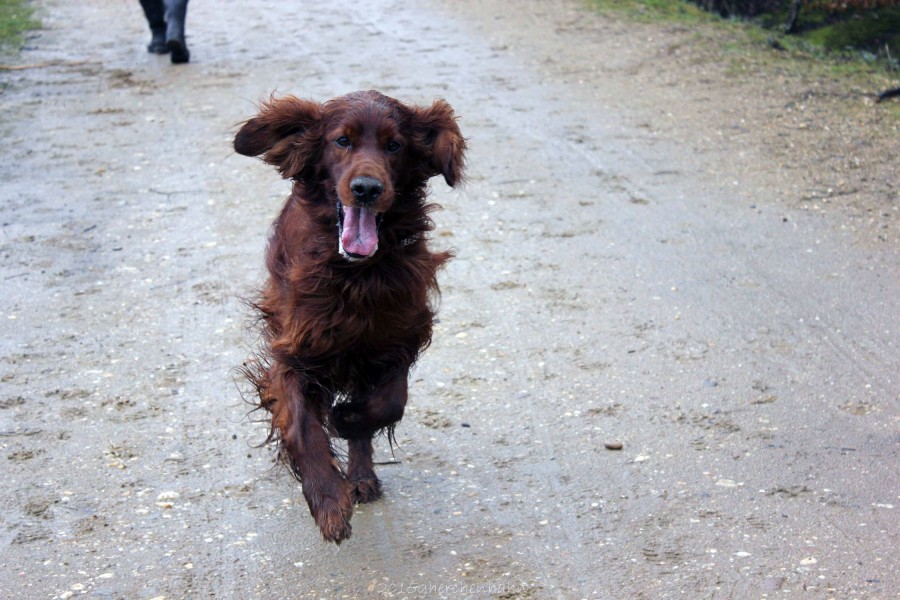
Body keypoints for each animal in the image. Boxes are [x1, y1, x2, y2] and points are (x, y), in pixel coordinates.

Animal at [234, 90, 465, 543]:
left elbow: (388, 404)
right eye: (342, 140)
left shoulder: (396, 338)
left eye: (395, 145)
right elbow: (302, 427)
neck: (357, 275)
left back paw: (360, 475)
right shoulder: (294, 351)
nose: (367, 189)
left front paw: (346, 421)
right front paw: (328, 503)